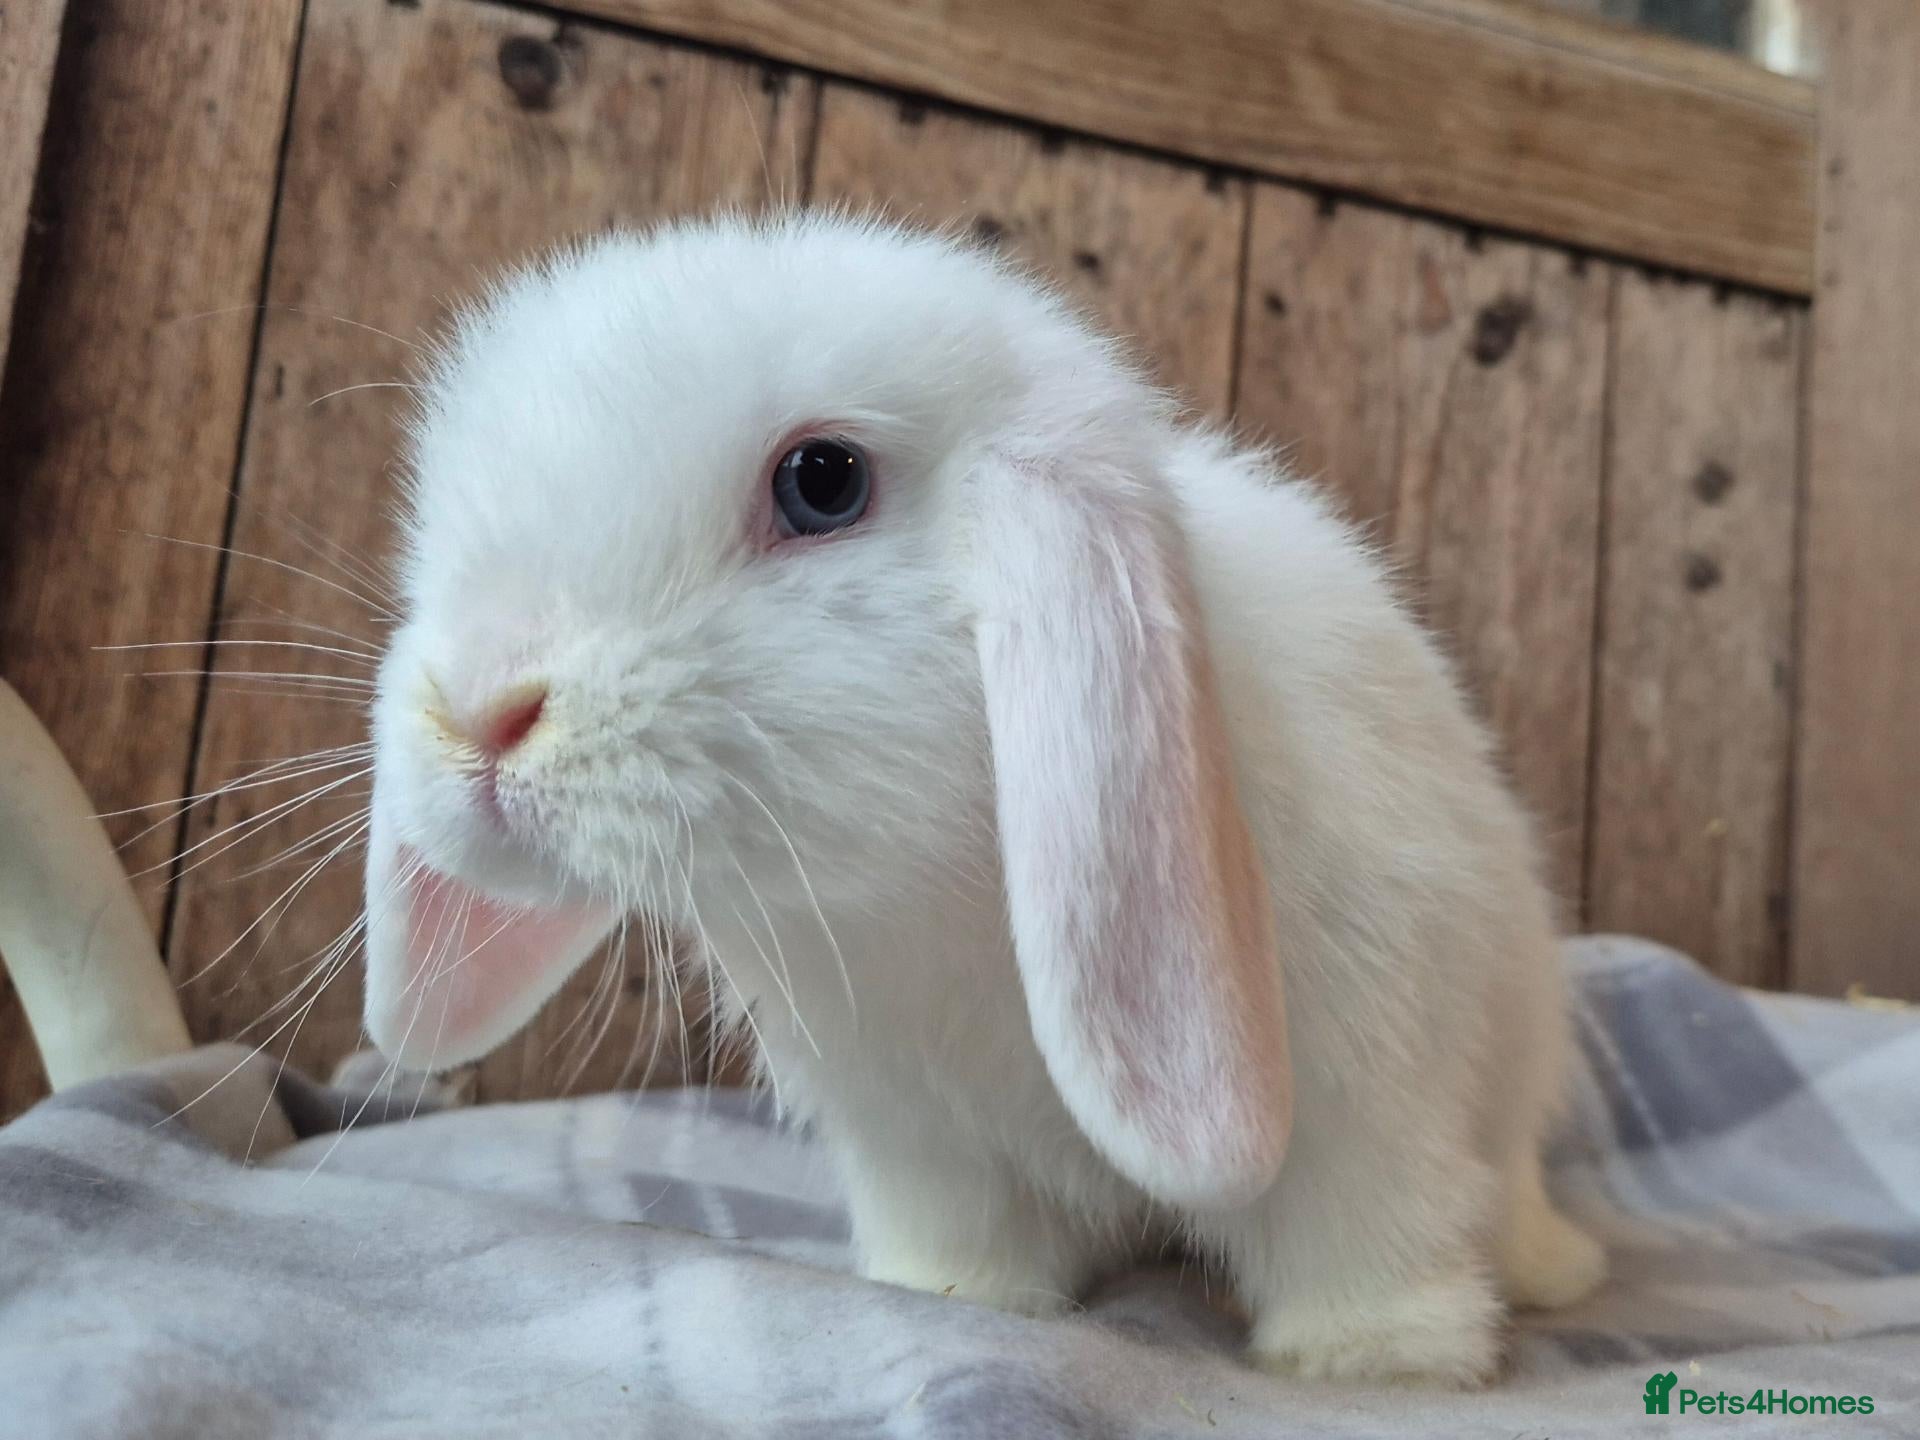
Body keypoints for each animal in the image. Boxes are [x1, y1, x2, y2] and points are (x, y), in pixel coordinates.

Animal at [359, 211, 1605, 1385]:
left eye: (823, 482)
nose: (477, 711)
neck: (934, 899)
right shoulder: (919, 1144)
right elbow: (966, 1253)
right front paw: (954, 1300)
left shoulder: (1372, 1097)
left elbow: (1365, 1234)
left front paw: (1373, 1360)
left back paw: (1558, 1269)